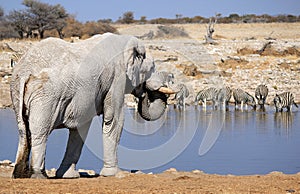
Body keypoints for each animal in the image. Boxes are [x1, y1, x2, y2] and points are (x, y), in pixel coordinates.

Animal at [10, 32, 176, 178]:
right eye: (152, 69)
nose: (144, 94)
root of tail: (25, 70)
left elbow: (80, 127)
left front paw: (68, 176)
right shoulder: (117, 77)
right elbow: (114, 119)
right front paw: (115, 174)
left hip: (18, 93)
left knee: (23, 130)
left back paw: (19, 176)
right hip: (47, 95)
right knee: (40, 131)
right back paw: (39, 176)